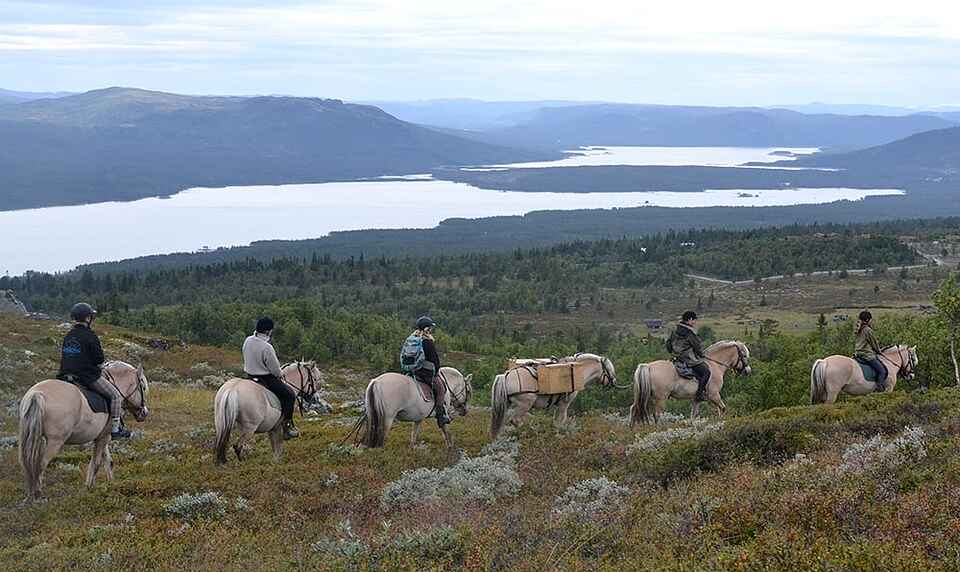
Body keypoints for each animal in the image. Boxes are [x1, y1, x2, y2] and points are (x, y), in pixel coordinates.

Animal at [18, 362, 149, 500]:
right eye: (143, 387)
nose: (144, 413)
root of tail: (37, 394)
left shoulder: (102, 437)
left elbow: (108, 461)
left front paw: (110, 483)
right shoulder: (104, 437)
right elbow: (96, 463)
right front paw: (90, 488)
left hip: (34, 438)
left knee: (28, 463)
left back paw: (30, 493)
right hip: (55, 441)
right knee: (41, 464)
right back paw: (37, 494)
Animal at [492, 354, 620, 442]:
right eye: (609, 369)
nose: (614, 382)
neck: (577, 372)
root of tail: (505, 376)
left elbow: (556, 421)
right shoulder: (564, 404)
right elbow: (560, 421)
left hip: (509, 404)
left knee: (504, 420)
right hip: (524, 404)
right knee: (515, 420)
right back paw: (530, 431)